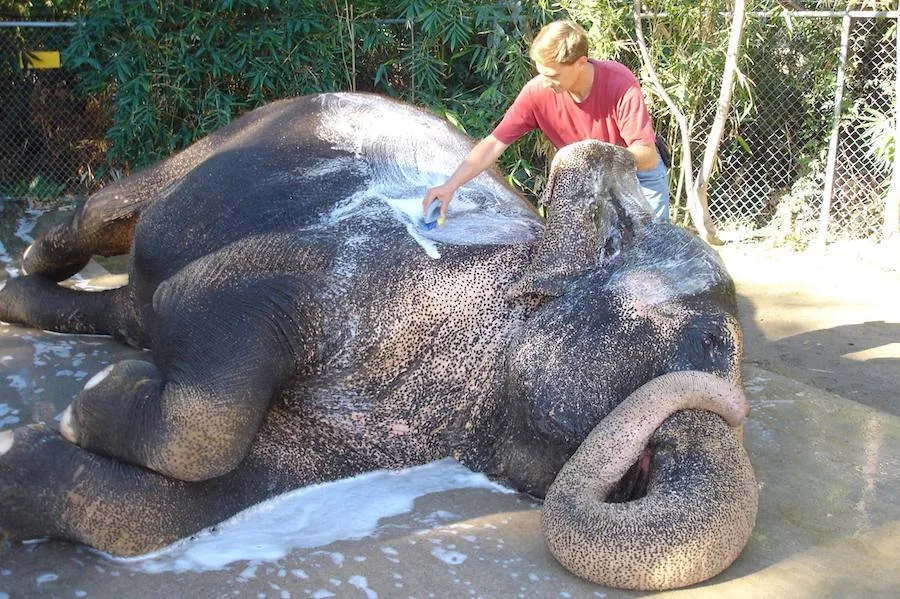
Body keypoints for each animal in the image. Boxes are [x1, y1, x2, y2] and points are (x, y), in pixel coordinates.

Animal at [0, 92, 757, 591]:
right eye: (712, 342)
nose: (738, 407)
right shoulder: (355, 271)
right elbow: (197, 301)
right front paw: (92, 398)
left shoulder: (373, 442)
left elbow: (185, 505)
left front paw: (41, 435)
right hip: (224, 140)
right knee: (107, 219)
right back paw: (32, 264)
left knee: (129, 309)